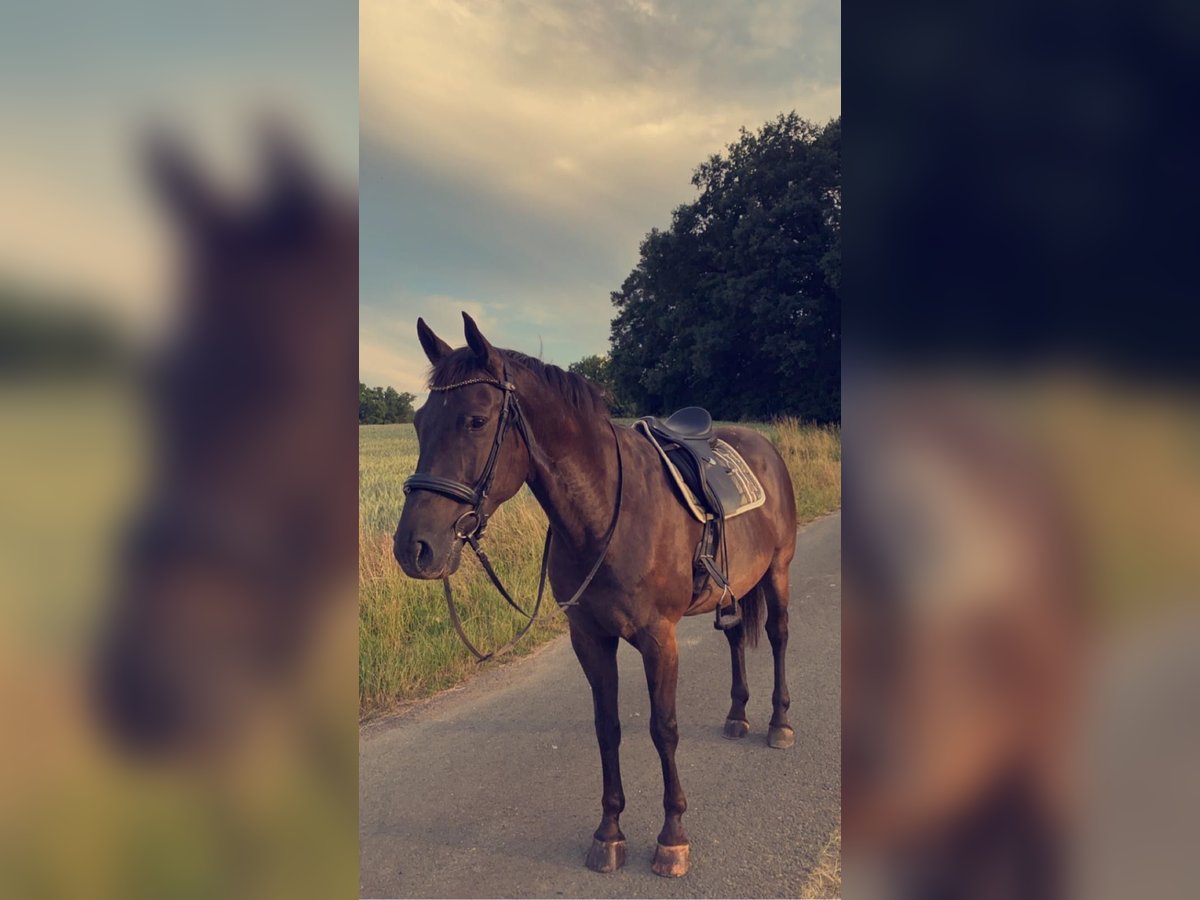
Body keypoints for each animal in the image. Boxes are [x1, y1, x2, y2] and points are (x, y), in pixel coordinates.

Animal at [393, 312, 796, 883]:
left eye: (475, 420)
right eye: (419, 422)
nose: (414, 547)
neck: (606, 512)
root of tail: (765, 447)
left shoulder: (659, 639)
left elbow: (663, 729)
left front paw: (672, 838)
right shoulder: (589, 638)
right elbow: (608, 728)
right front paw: (609, 833)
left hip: (779, 572)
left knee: (779, 638)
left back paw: (778, 723)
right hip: (732, 590)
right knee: (737, 638)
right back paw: (738, 716)